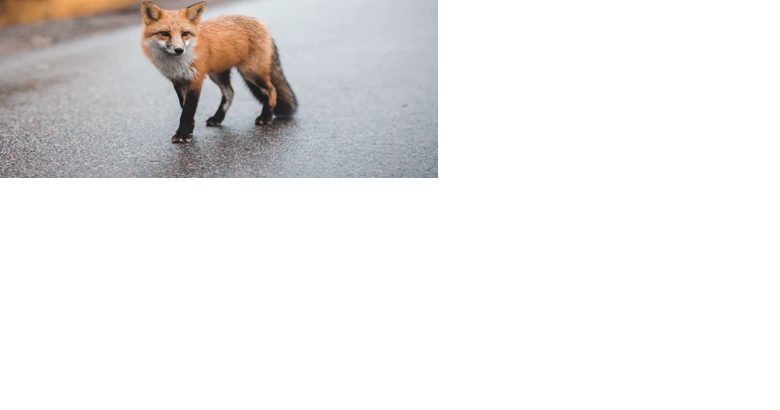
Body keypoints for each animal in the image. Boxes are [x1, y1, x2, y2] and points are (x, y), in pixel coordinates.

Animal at [141, 1, 297, 143]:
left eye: (185, 33)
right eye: (164, 33)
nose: (179, 50)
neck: (177, 64)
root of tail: (261, 23)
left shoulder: (196, 79)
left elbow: (188, 110)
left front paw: (183, 134)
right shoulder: (177, 81)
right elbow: (184, 108)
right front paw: (189, 130)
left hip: (251, 73)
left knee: (271, 90)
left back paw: (266, 117)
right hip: (218, 75)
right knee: (230, 93)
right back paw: (218, 118)